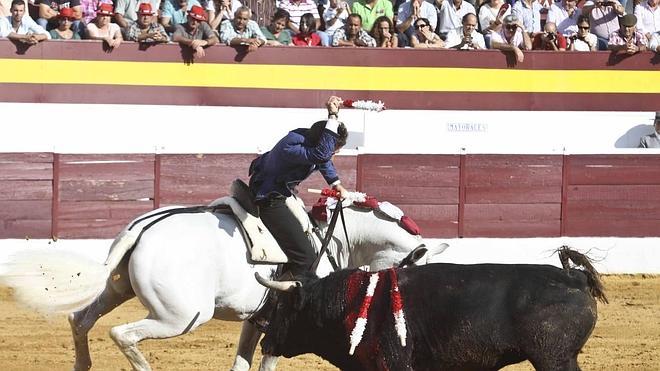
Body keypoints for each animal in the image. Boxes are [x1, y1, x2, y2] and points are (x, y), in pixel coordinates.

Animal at [0, 199, 448, 370]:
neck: (336, 237)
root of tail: (144, 229)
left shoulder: (259, 318)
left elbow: (244, 362)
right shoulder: (288, 322)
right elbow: (266, 361)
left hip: (116, 288)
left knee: (80, 320)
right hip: (183, 315)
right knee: (121, 333)